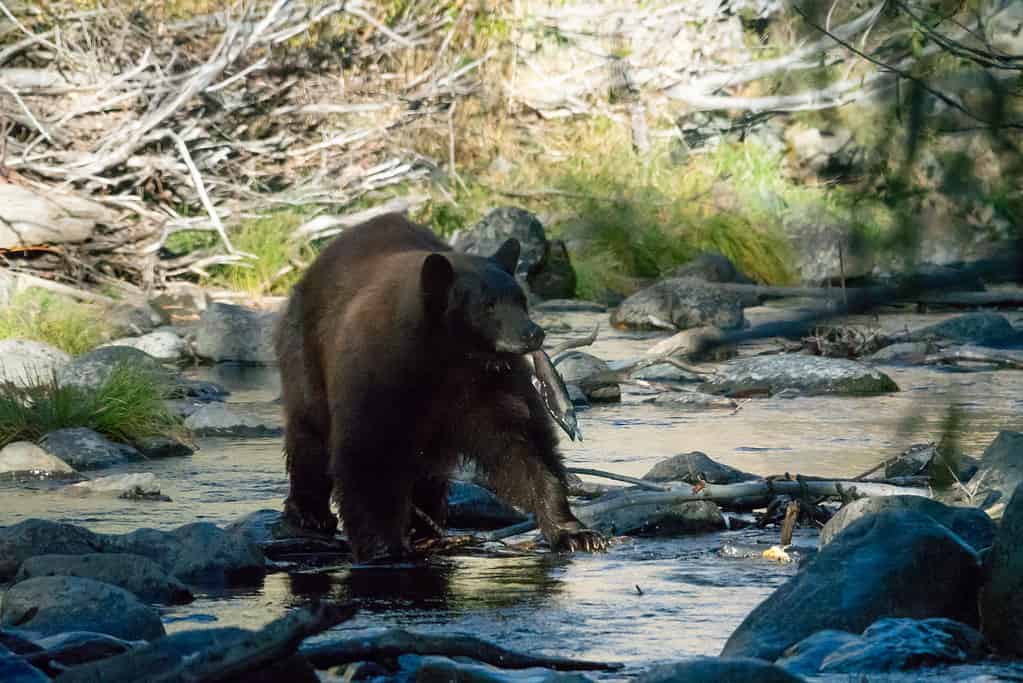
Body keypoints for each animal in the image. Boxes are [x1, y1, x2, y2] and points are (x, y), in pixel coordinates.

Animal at [275, 212, 605, 563]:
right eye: (488, 305)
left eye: (521, 300)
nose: (534, 333)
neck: (446, 355)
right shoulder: (376, 376)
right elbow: (367, 455)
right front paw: (383, 548)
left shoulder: (491, 385)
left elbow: (524, 448)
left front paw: (576, 533)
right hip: (306, 357)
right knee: (309, 433)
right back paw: (309, 512)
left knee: (427, 470)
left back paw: (426, 521)